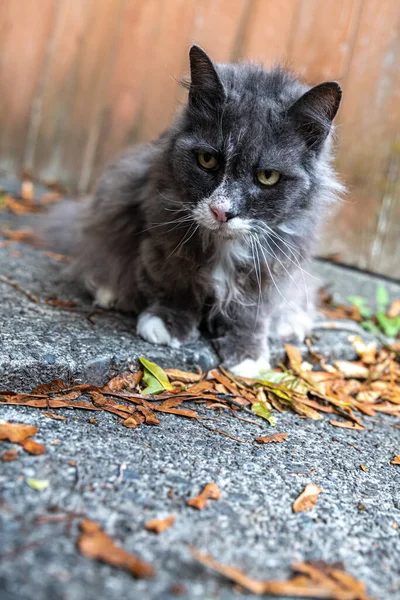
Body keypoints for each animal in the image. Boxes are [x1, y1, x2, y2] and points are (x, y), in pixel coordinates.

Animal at [43, 45, 344, 376]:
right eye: (206, 160)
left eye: (267, 177)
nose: (222, 211)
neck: (225, 246)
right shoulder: (162, 232)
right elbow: (175, 281)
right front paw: (167, 324)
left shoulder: (273, 261)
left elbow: (252, 310)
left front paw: (248, 355)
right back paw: (110, 290)